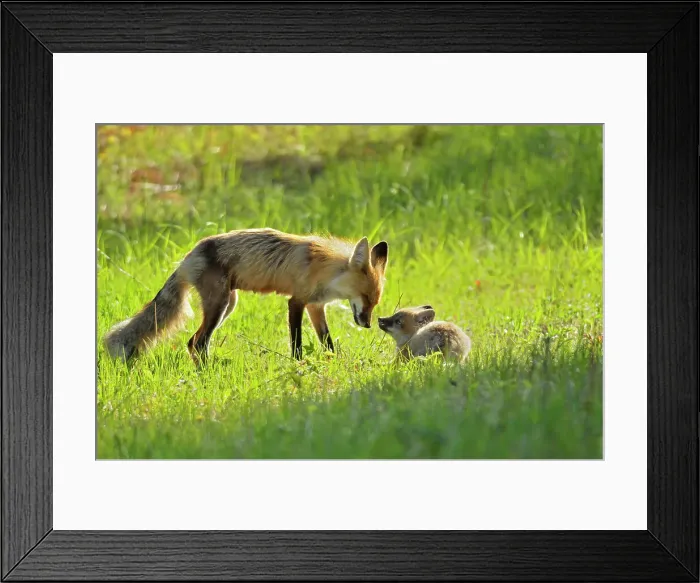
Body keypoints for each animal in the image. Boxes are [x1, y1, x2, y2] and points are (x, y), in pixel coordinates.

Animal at [103, 228, 389, 364]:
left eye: (375, 302)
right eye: (366, 297)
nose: (367, 324)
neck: (325, 269)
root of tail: (189, 255)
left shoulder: (316, 306)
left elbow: (327, 341)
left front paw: (334, 362)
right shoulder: (297, 301)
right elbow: (296, 343)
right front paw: (299, 366)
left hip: (228, 304)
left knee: (194, 342)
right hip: (219, 305)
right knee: (198, 342)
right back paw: (208, 372)